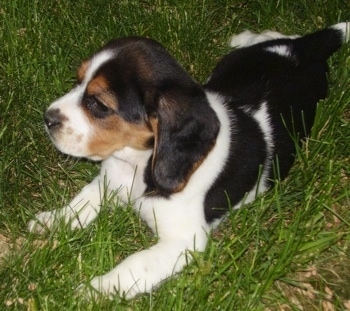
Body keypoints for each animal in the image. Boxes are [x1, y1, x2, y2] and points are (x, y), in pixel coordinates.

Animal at [28, 22, 348, 300]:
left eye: (99, 105)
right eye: (77, 81)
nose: (47, 118)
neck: (138, 163)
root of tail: (301, 52)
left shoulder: (183, 241)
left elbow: (135, 264)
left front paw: (93, 291)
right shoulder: (109, 180)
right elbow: (83, 201)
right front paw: (52, 220)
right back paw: (247, 37)